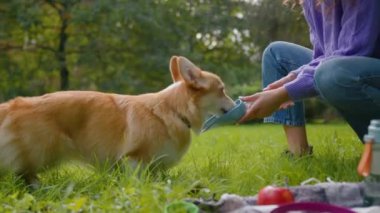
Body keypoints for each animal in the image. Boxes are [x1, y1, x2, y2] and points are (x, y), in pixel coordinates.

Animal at [0, 56, 235, 185]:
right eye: (222, 90)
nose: (235, 105)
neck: (173, 110)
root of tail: (12, 105)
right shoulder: (134, 160)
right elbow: (137, 181)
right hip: (42, 152)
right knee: (24, 174)